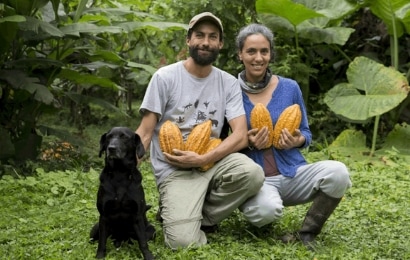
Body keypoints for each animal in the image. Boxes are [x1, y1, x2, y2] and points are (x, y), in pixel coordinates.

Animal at [89, 127, 155, 258]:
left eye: (124, 137)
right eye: (109, 137)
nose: (111, 148)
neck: (119, 173)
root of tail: (121, 241)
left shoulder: (137, 217)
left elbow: (143, 242)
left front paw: (148, 256)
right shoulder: (103, 217)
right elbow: (102, 242)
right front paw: (100, 256)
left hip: (151, 229)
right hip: (96, 227)